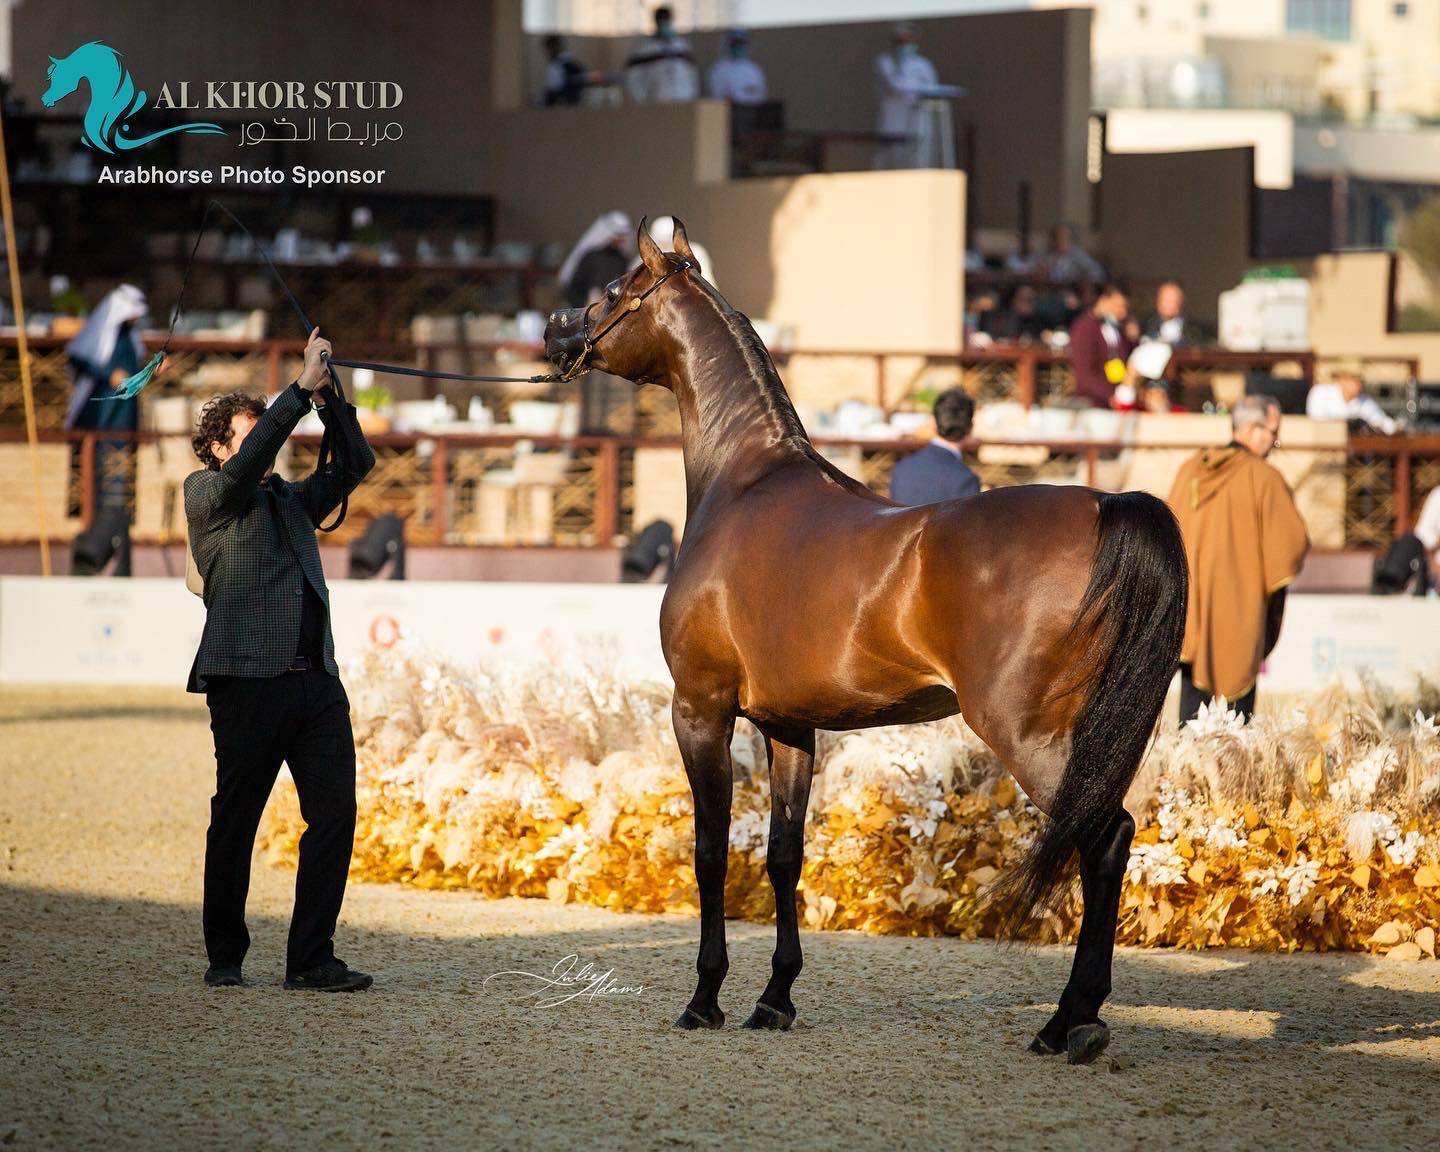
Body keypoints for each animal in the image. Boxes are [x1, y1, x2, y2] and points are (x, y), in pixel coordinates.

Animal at [543, 219, 1188, 1065]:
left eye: (616, 288)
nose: (557, 333)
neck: (744, 484)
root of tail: (1108, 503)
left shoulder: (700, 709)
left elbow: (710, 854)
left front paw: (704, 1000)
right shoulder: (789, 727)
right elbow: (783, 858)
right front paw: (775, 999)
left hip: (1031, 734)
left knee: (1103, 838)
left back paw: (1067, 1023)